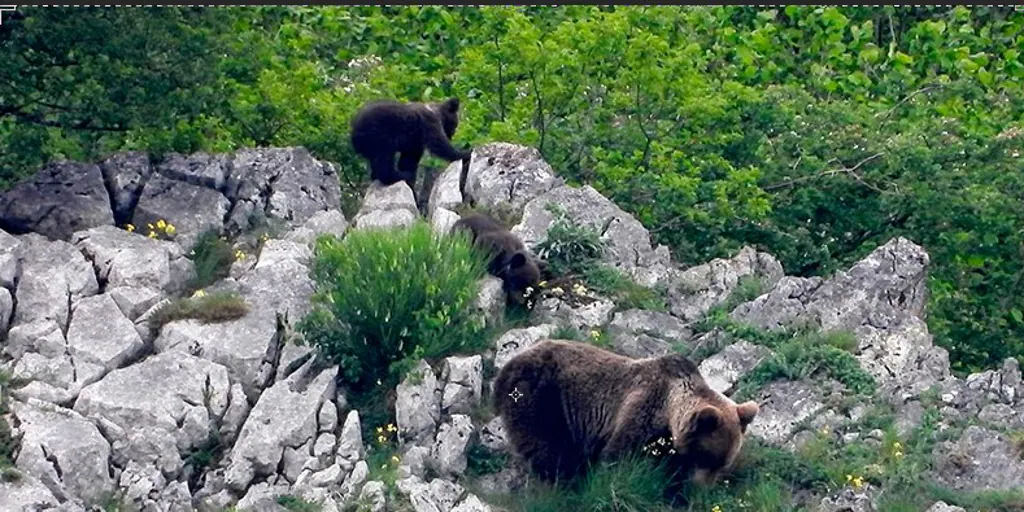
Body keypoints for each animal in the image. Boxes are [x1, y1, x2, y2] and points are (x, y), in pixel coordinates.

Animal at [495, 339, 761, 483]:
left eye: (723, 464)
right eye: (707, 457)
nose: (702, 487)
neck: (669, 409)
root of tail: (509, 365)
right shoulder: (642, 406)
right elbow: (617, 455)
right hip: (541, 397)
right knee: (549, 448)